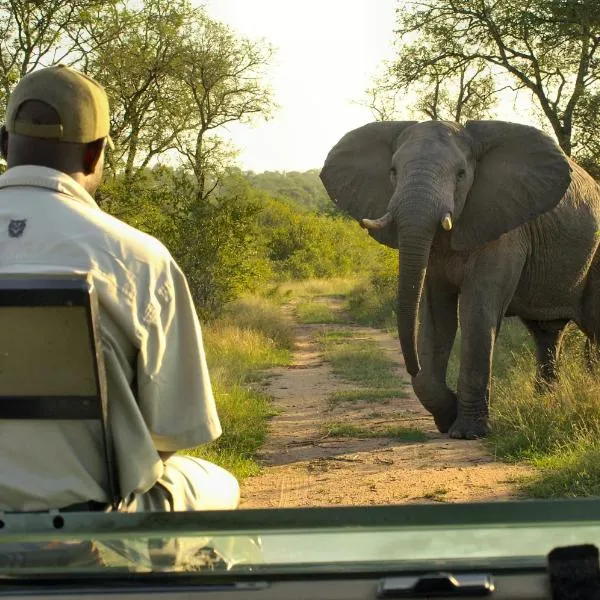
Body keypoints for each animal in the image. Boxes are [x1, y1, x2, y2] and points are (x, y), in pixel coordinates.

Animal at [322, 120, 600, 440]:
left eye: (461, 175)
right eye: (392, 171)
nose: (412, 366)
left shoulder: (502, 229)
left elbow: (476, 314)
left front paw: (468, 433)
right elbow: (436, 317)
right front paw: (447, 416)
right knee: (546, 333)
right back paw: (545, 404)